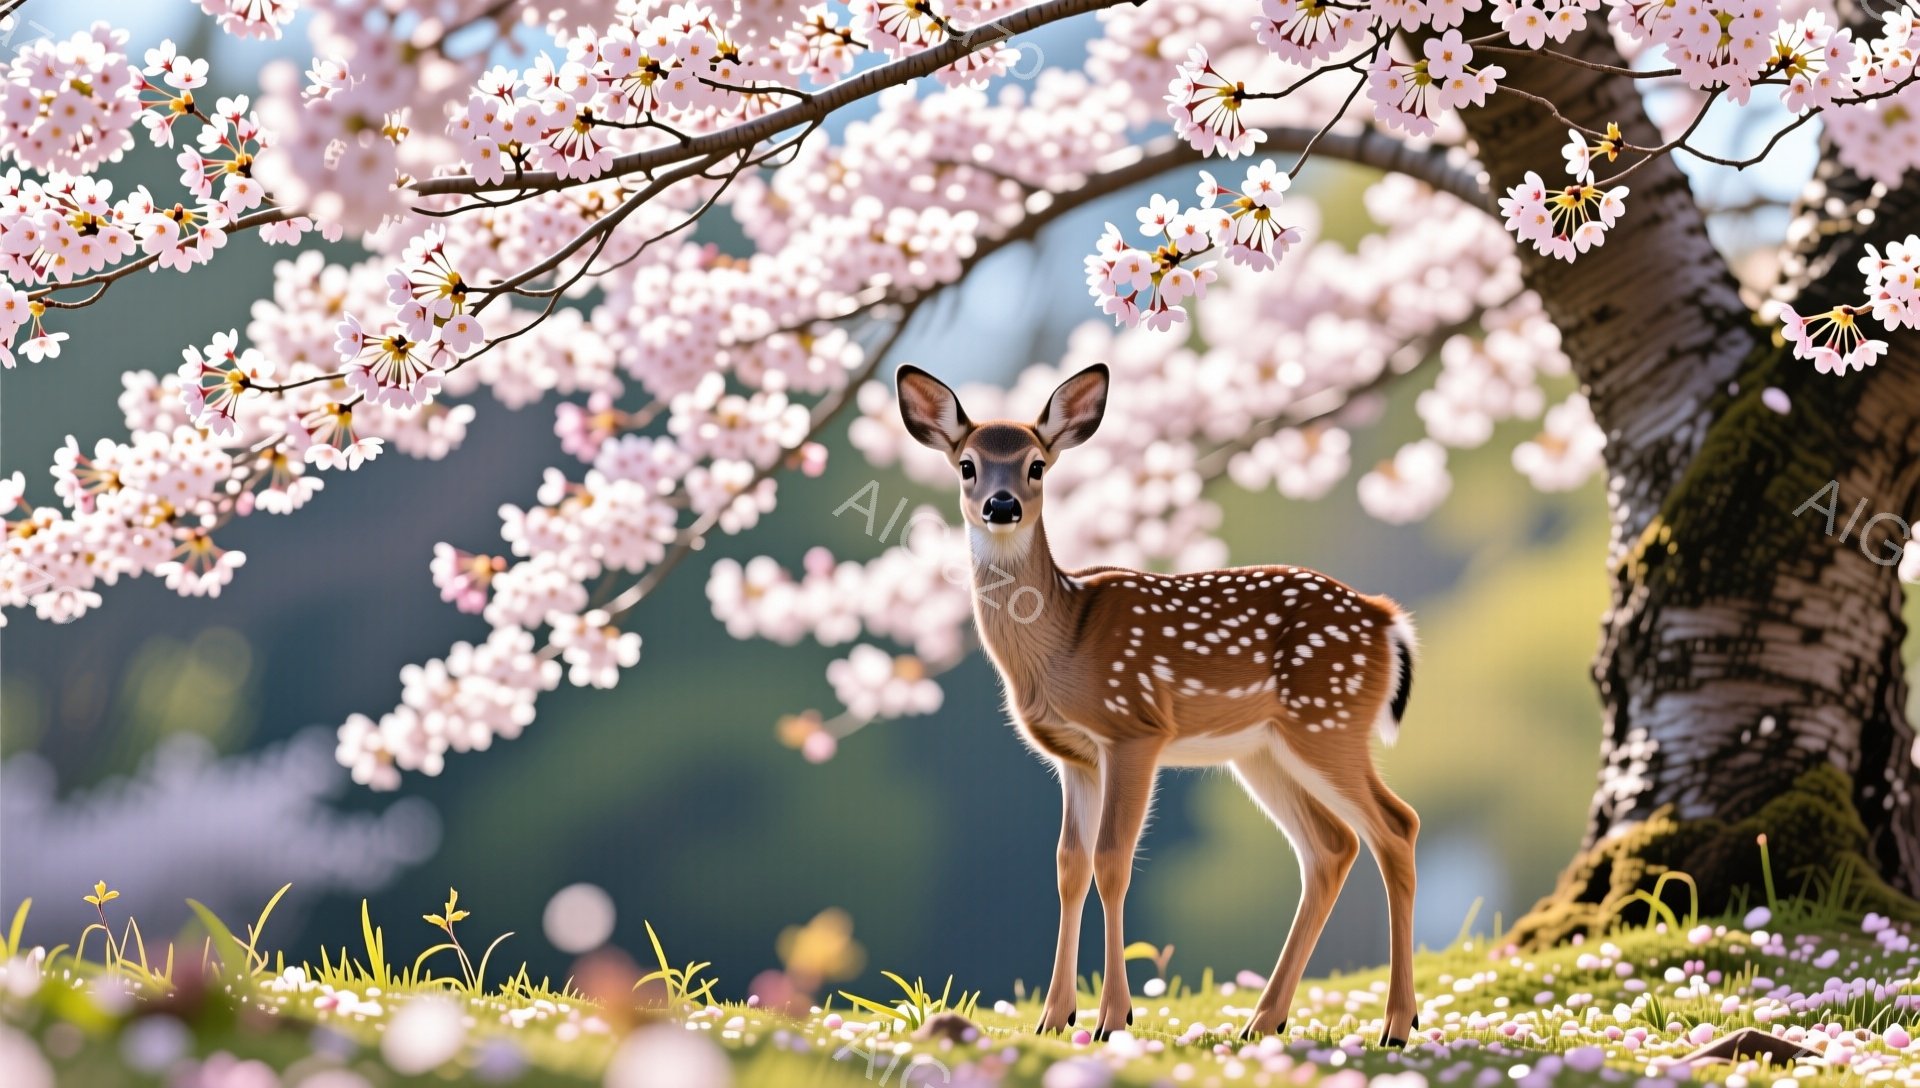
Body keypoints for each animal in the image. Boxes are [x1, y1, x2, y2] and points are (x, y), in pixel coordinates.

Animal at [895, 362, 1422, 1046]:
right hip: (1263, 750)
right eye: (967, 464)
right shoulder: (1074, 757)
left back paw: (1396, 1025)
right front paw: (1053, 1017)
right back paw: (1264, 1021)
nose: (1001, 505)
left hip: (1328, 718)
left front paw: (1111, 1019)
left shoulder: (1134, 729)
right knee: (1332, 846)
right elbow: (1068, 865)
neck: (1060, 641)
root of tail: (1388, 621)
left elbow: (1113, 861)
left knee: (1395, 825)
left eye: (1037, 464)